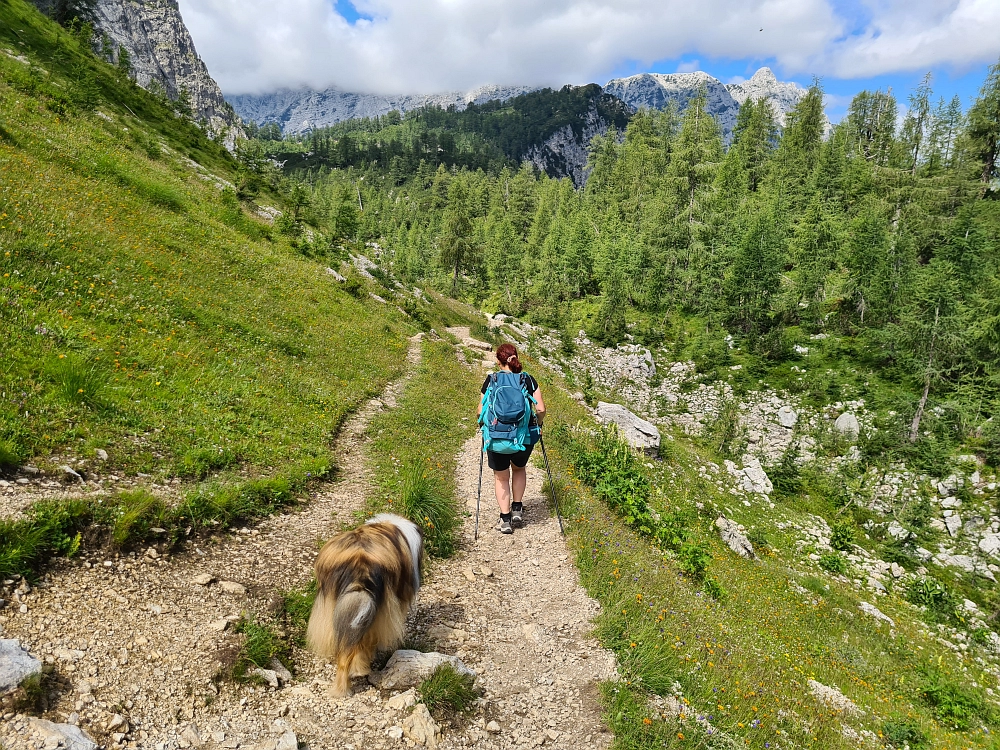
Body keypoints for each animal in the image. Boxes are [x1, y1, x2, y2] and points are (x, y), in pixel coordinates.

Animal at [304, 516, 422, 700]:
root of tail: (359, 563)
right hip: (375, 611)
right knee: (361, 643)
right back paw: (358, 673)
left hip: (338, 606)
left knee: (345, 648)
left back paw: (343, 686)